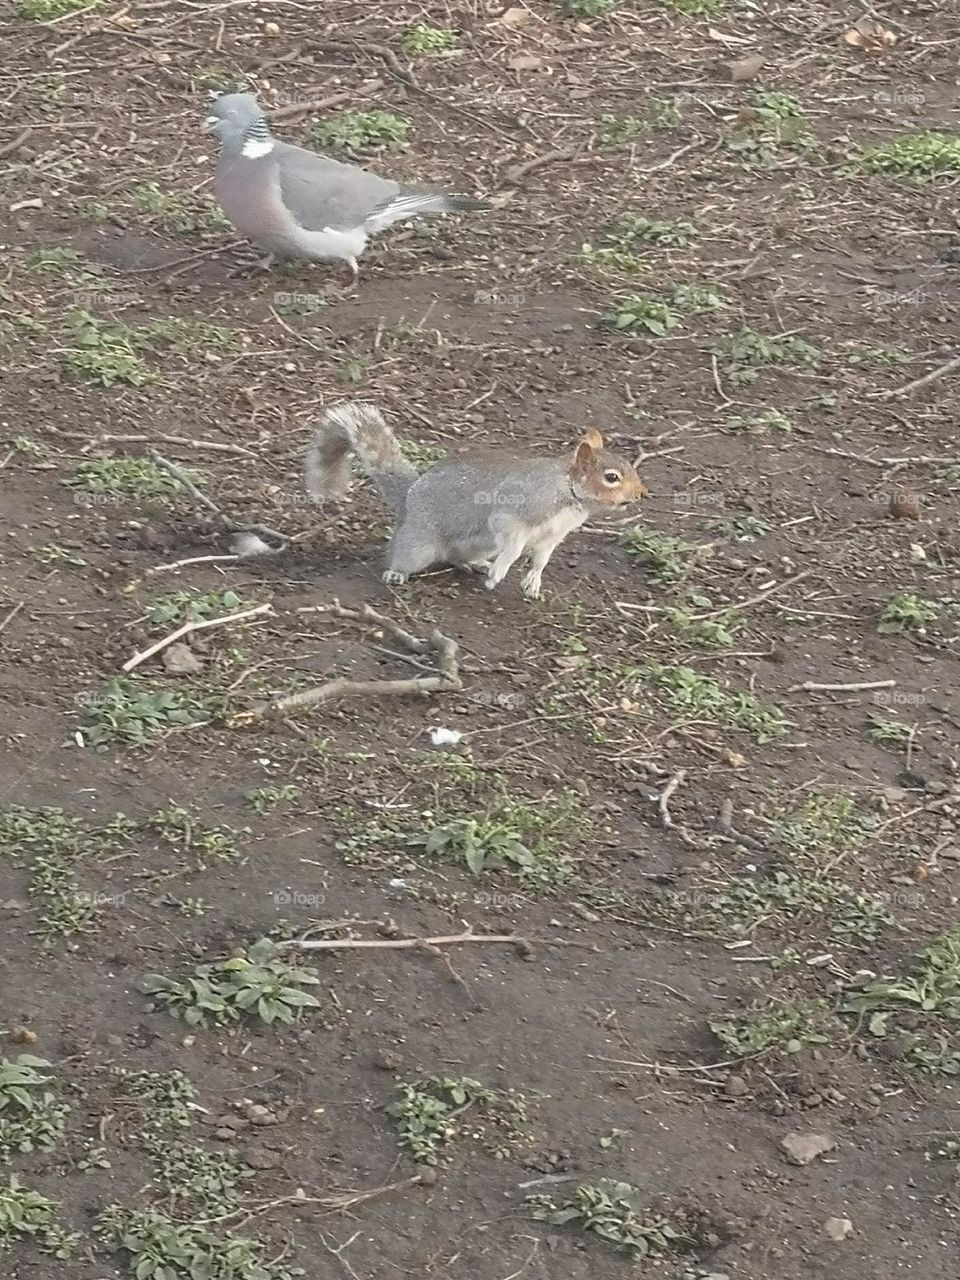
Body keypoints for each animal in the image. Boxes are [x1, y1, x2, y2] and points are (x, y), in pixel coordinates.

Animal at [304, 402, 648, 598]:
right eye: (611, 477)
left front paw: (533, 581)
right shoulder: (516, 510)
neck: (569, 493)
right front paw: (502, 571)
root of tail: (409, 497)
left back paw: (477, 563)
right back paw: (396, 572)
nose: (641, 493)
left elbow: (541, 558)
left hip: (477, 544)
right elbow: (512, 545)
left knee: (456, 557)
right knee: (401, 554)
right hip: (418, 543)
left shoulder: (553, 536)